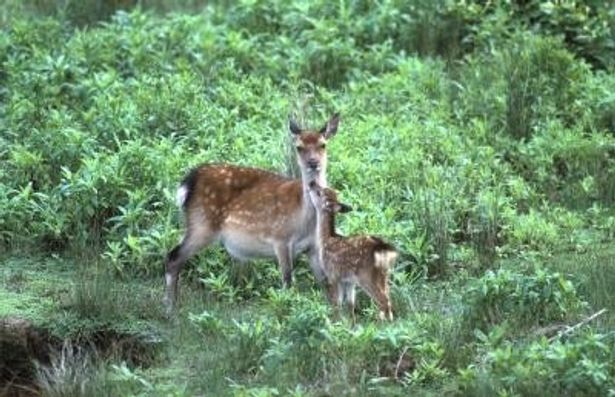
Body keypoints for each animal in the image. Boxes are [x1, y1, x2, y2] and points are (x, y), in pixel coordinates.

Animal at [165, 112, 342, 312]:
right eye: (299, 147)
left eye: (323, 144)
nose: (313, 162)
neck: (306, 220)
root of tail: (188, 183)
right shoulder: (280, 238)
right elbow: (287, 281)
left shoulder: (312, 248)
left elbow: (327, 286)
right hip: (202, 224)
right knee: (173, 257)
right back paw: (170, 308)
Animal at [308, 181, 400, 320]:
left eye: (320, 192)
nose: (312, 183)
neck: (325, 239)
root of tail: (382, 249)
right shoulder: (349, 281)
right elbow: (350, 304)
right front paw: (351, 324)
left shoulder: (332, 274)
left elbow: (337, 304)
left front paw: (336, 323)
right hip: (384, 274)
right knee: (388, 299)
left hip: (366, 275)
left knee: (383, 301)